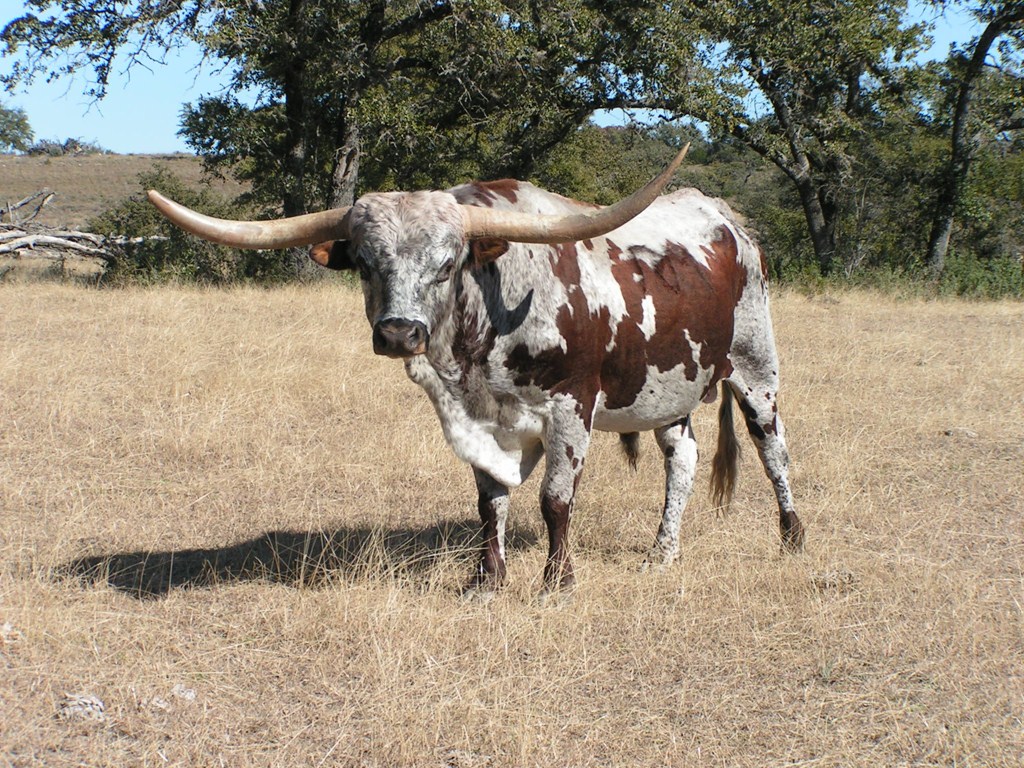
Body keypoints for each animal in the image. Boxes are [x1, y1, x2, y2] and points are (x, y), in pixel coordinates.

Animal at [147, 146, 804, 602]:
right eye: (365, 264)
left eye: (447, 264)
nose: (398, 333)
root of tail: (725, 217)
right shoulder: (475, 418)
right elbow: (490, 502)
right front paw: (487, 580)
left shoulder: (572, 406)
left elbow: (555, 500)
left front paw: (556, 582)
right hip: (669, 387)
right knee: (682, 459)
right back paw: (661, 553)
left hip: (755, 366)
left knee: (773, 448)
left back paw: (792, 537)